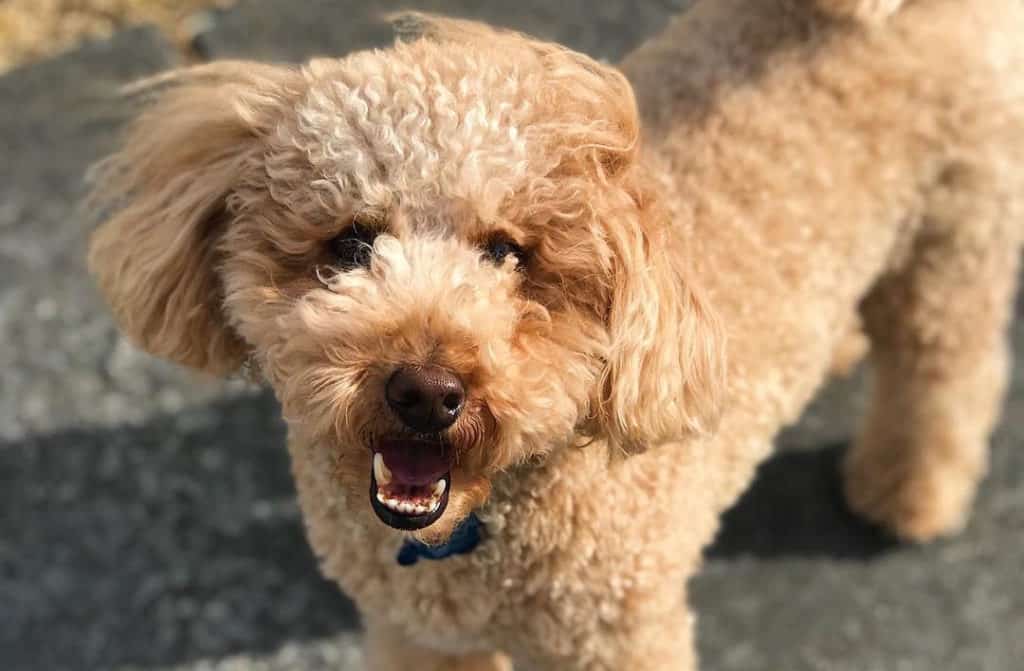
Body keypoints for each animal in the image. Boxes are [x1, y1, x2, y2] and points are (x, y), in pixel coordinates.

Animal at [88, 0, 1024, 667]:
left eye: (509, 251)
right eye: (350, 245)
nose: (425, 388)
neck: (479, 524)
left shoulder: (616, 636)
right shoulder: (420, 631)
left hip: (957, 231)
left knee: (945, 367)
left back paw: (910, 496)